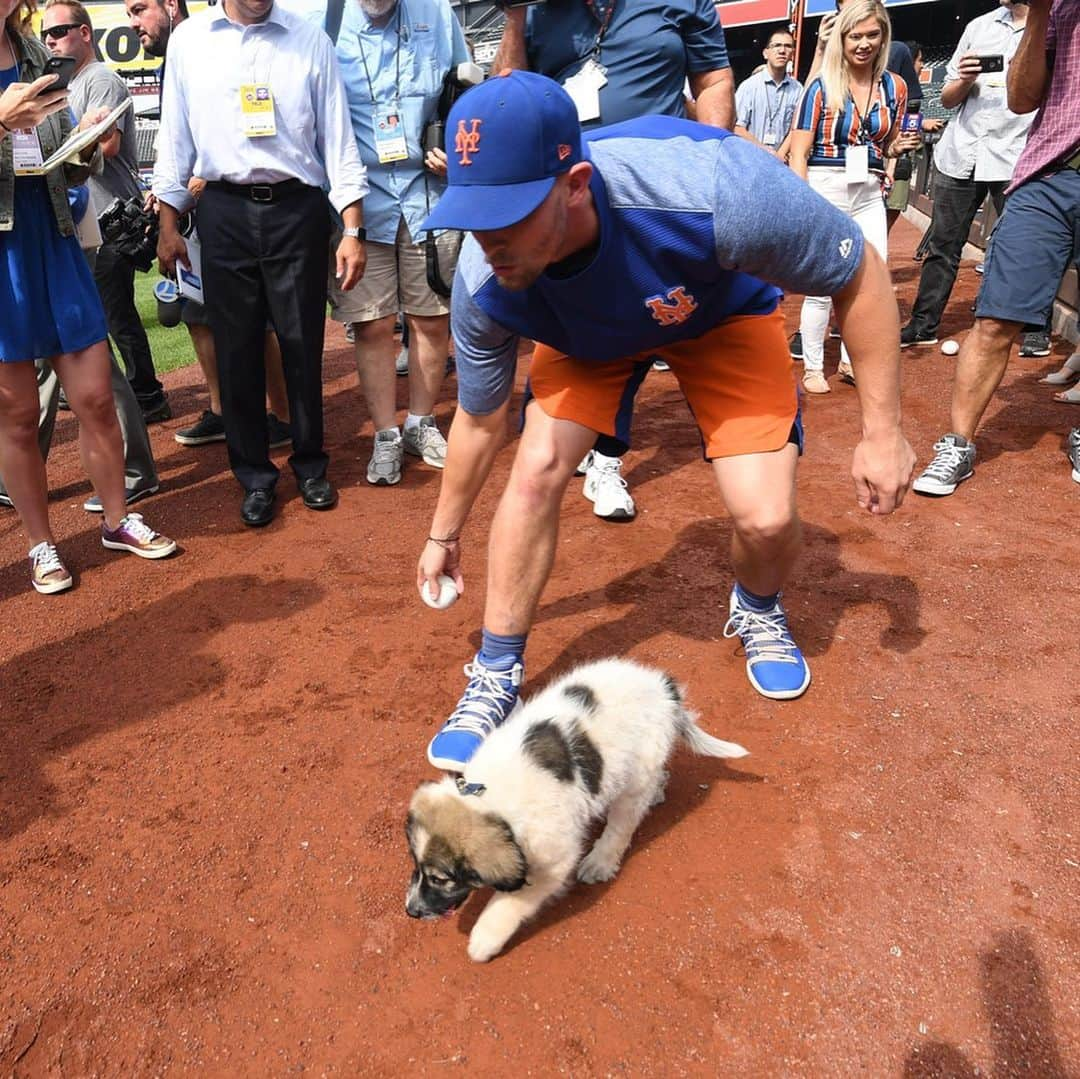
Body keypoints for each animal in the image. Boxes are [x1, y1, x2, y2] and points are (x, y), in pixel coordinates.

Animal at [401, 656, 747, 963]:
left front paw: (484, 939)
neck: (487, 797)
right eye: (417, 867)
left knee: (623, 823)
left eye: (441, 879)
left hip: (636, 772)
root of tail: (664, 689)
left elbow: (510, 902)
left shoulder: (554, 859)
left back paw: (601, 860)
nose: (411, 911)